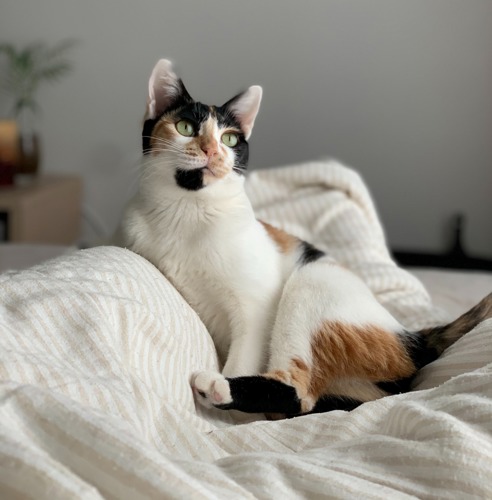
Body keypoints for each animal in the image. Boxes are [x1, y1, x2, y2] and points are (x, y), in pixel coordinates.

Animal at [116, 57, 492, 418]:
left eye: (230, 139)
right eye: (185, 127)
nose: (212, 151)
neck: (188, 211)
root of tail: (411, 337)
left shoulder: (256, 307)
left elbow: (244, 353)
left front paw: (230, 423)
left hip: (311, 282)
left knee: (299, 393)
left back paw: (218, 387)